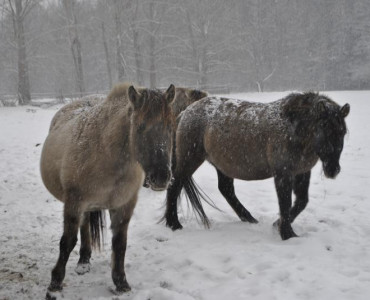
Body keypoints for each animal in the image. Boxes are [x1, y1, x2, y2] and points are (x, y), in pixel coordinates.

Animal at [41, 83, 177, 296]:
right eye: (140, 127)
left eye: (170, 127)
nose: (162, 177)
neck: (106, 153)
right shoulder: (74, 202)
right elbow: (67, 242)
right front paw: (55, 283)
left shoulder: (124, 205)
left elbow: (120, 243)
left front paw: (121, 282)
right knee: (83, 226)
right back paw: (83, 262)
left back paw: (84, 259)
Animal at [164, 92, 350, 240]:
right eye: (323, 128)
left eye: (342, 132)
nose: (333, 170)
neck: (293, 128)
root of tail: (185, 112)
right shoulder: (283, 174)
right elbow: (285, 202)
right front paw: (287, 234)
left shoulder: (302, 172)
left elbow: (301, 201)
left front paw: (277, 224)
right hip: (190, 160)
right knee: (174, 185)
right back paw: (174, 224)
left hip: (222, 165)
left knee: (226, 190)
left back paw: (249, 218)